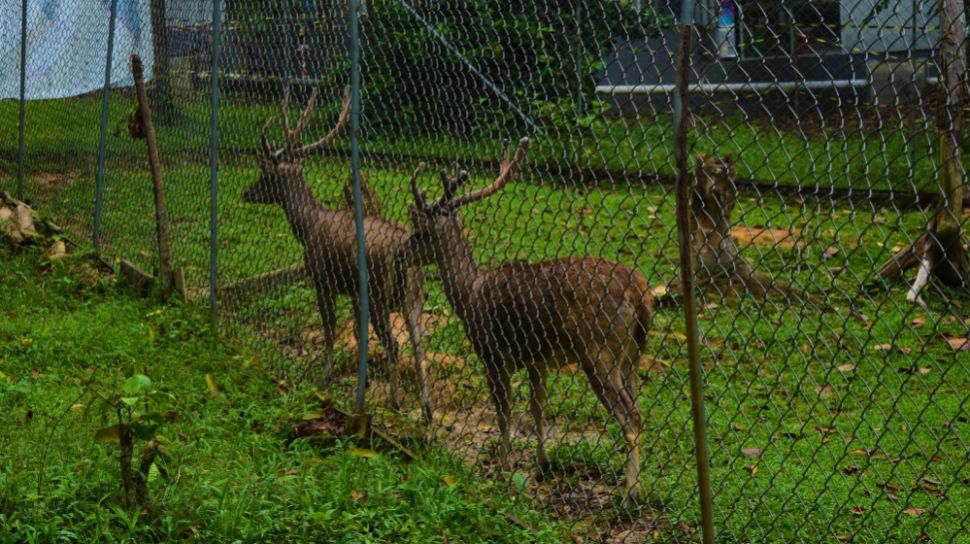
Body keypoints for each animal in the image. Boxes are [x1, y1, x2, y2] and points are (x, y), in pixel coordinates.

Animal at [241, 87, 428, 422]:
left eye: (265, 176)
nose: (246, 193)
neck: (307, 227)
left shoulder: (321, 278)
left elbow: (329, 329)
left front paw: (325, 375)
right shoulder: (353, 290)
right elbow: (357, 331)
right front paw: (363, 381)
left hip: (379, 293)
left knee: (395, 344)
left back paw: (394, 401)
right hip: (414, 294)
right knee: (418, 343)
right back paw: (426, 409)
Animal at [398, 137, 656, 502]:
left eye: (419, 233)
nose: (400, 254)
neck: (469, 294)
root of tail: (640, 291)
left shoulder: (492, 353)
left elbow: (504, 412)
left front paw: (505, 468)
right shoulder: (536, 359)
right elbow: (537, 407)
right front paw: (543, 462)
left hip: (598, 348)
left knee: (630, 416)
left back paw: (630, 492)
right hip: (632, 353)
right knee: (639, 410)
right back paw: (636, 484)